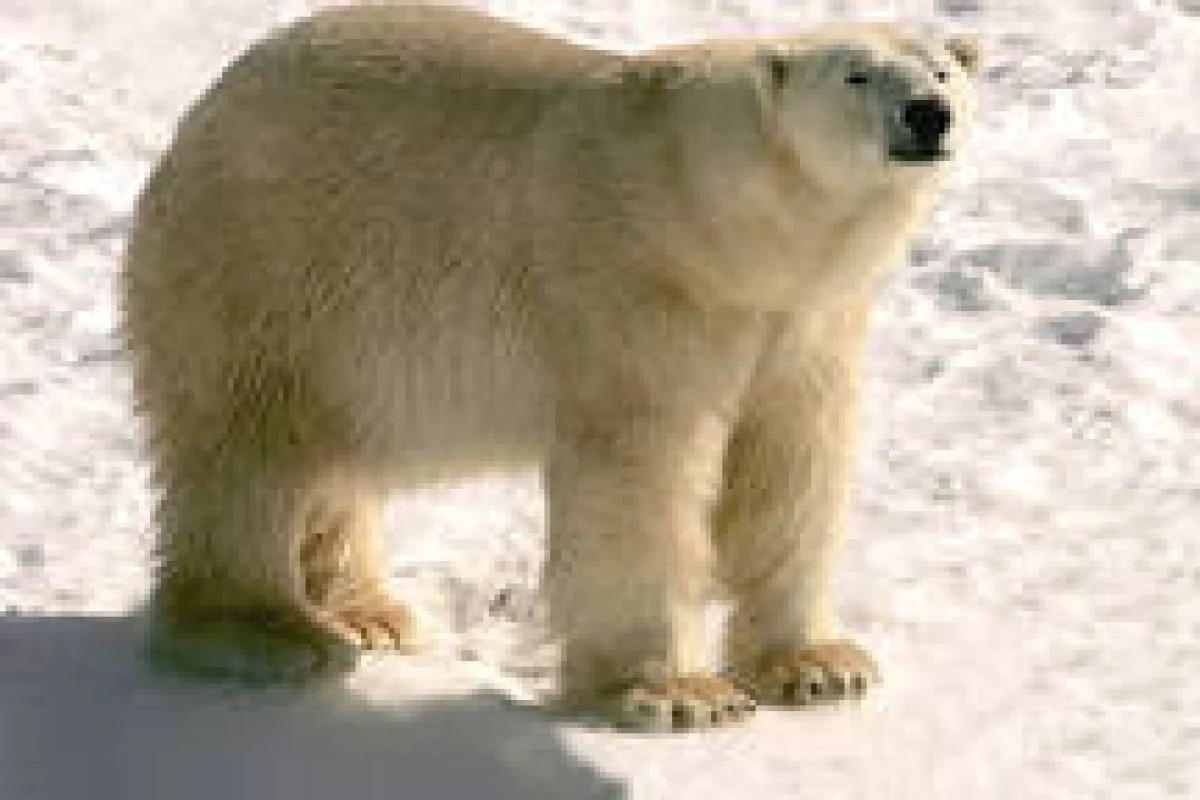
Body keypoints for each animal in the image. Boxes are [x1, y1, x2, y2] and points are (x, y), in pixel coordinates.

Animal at [120, 4, 979, 731]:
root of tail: (206, 109)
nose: (928, 113)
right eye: (856, 74)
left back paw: (368, 613)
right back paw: (268, 632)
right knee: (248, 447)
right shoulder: (639, 289)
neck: (731, 230)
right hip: (270, 265)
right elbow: (640, 476)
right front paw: (679, 693)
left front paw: (821, 666)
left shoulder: (806, 322)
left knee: (330, 459)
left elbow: (792, 461)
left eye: (943, 70)